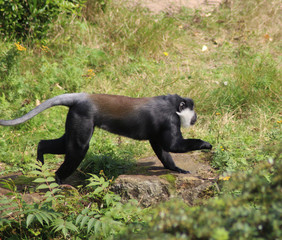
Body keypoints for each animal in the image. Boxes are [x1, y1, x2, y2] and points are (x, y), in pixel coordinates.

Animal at [0, 93, 212, 183]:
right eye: (192, 109)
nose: (195, 116)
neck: (173, 106)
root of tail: (83, 97)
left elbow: (161, 147)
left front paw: (175, 168)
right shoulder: (170, 119)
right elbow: (172, 145)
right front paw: (205, 144)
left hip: (74, 119)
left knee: (55, 143)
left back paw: (41, 158)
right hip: (82, 118)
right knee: (79, 148)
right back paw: (58, 179)